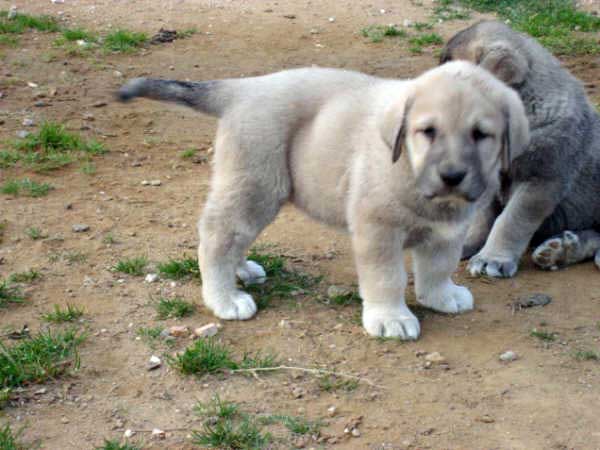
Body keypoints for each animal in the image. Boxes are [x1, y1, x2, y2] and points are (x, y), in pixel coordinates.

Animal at [440, 21, 600, 276]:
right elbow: (480, 218)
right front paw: (467, 245)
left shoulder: (540, 182)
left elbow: (510, 222)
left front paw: (492, 258)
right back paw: (561, 250)